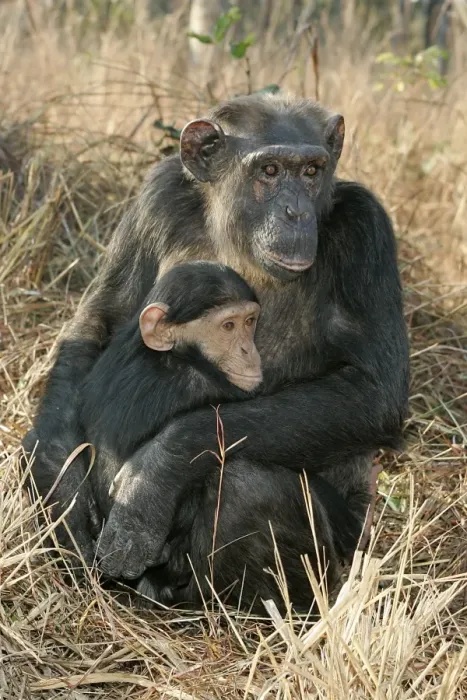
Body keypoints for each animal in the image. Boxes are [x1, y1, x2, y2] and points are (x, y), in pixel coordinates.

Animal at [23, 93, 409, 611]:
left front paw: (154, 475)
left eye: (311, 171)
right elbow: (100, 319)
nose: (296, 211)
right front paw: (60, 482)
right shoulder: (157, 195)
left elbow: (373, 391)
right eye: (269, 171)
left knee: (246, 485)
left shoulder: (367, 231)